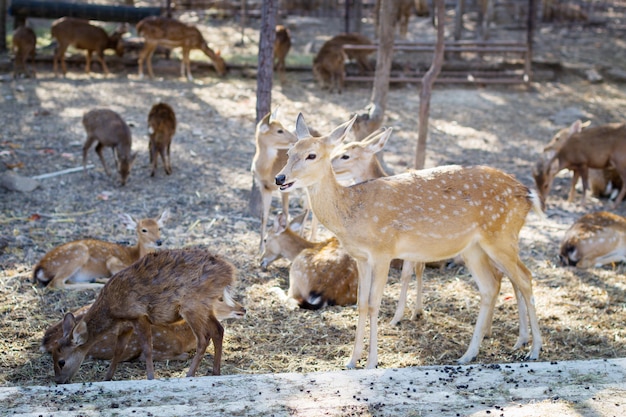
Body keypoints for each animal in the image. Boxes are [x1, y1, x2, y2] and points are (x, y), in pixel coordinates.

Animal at [31, 208, 168, 290]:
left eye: (159, 228)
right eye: (144, 230)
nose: (159, 241)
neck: (135, 255)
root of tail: (40, 268)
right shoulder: (113, 261)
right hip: (78, 252)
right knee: (56, 283)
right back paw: (95, 284)